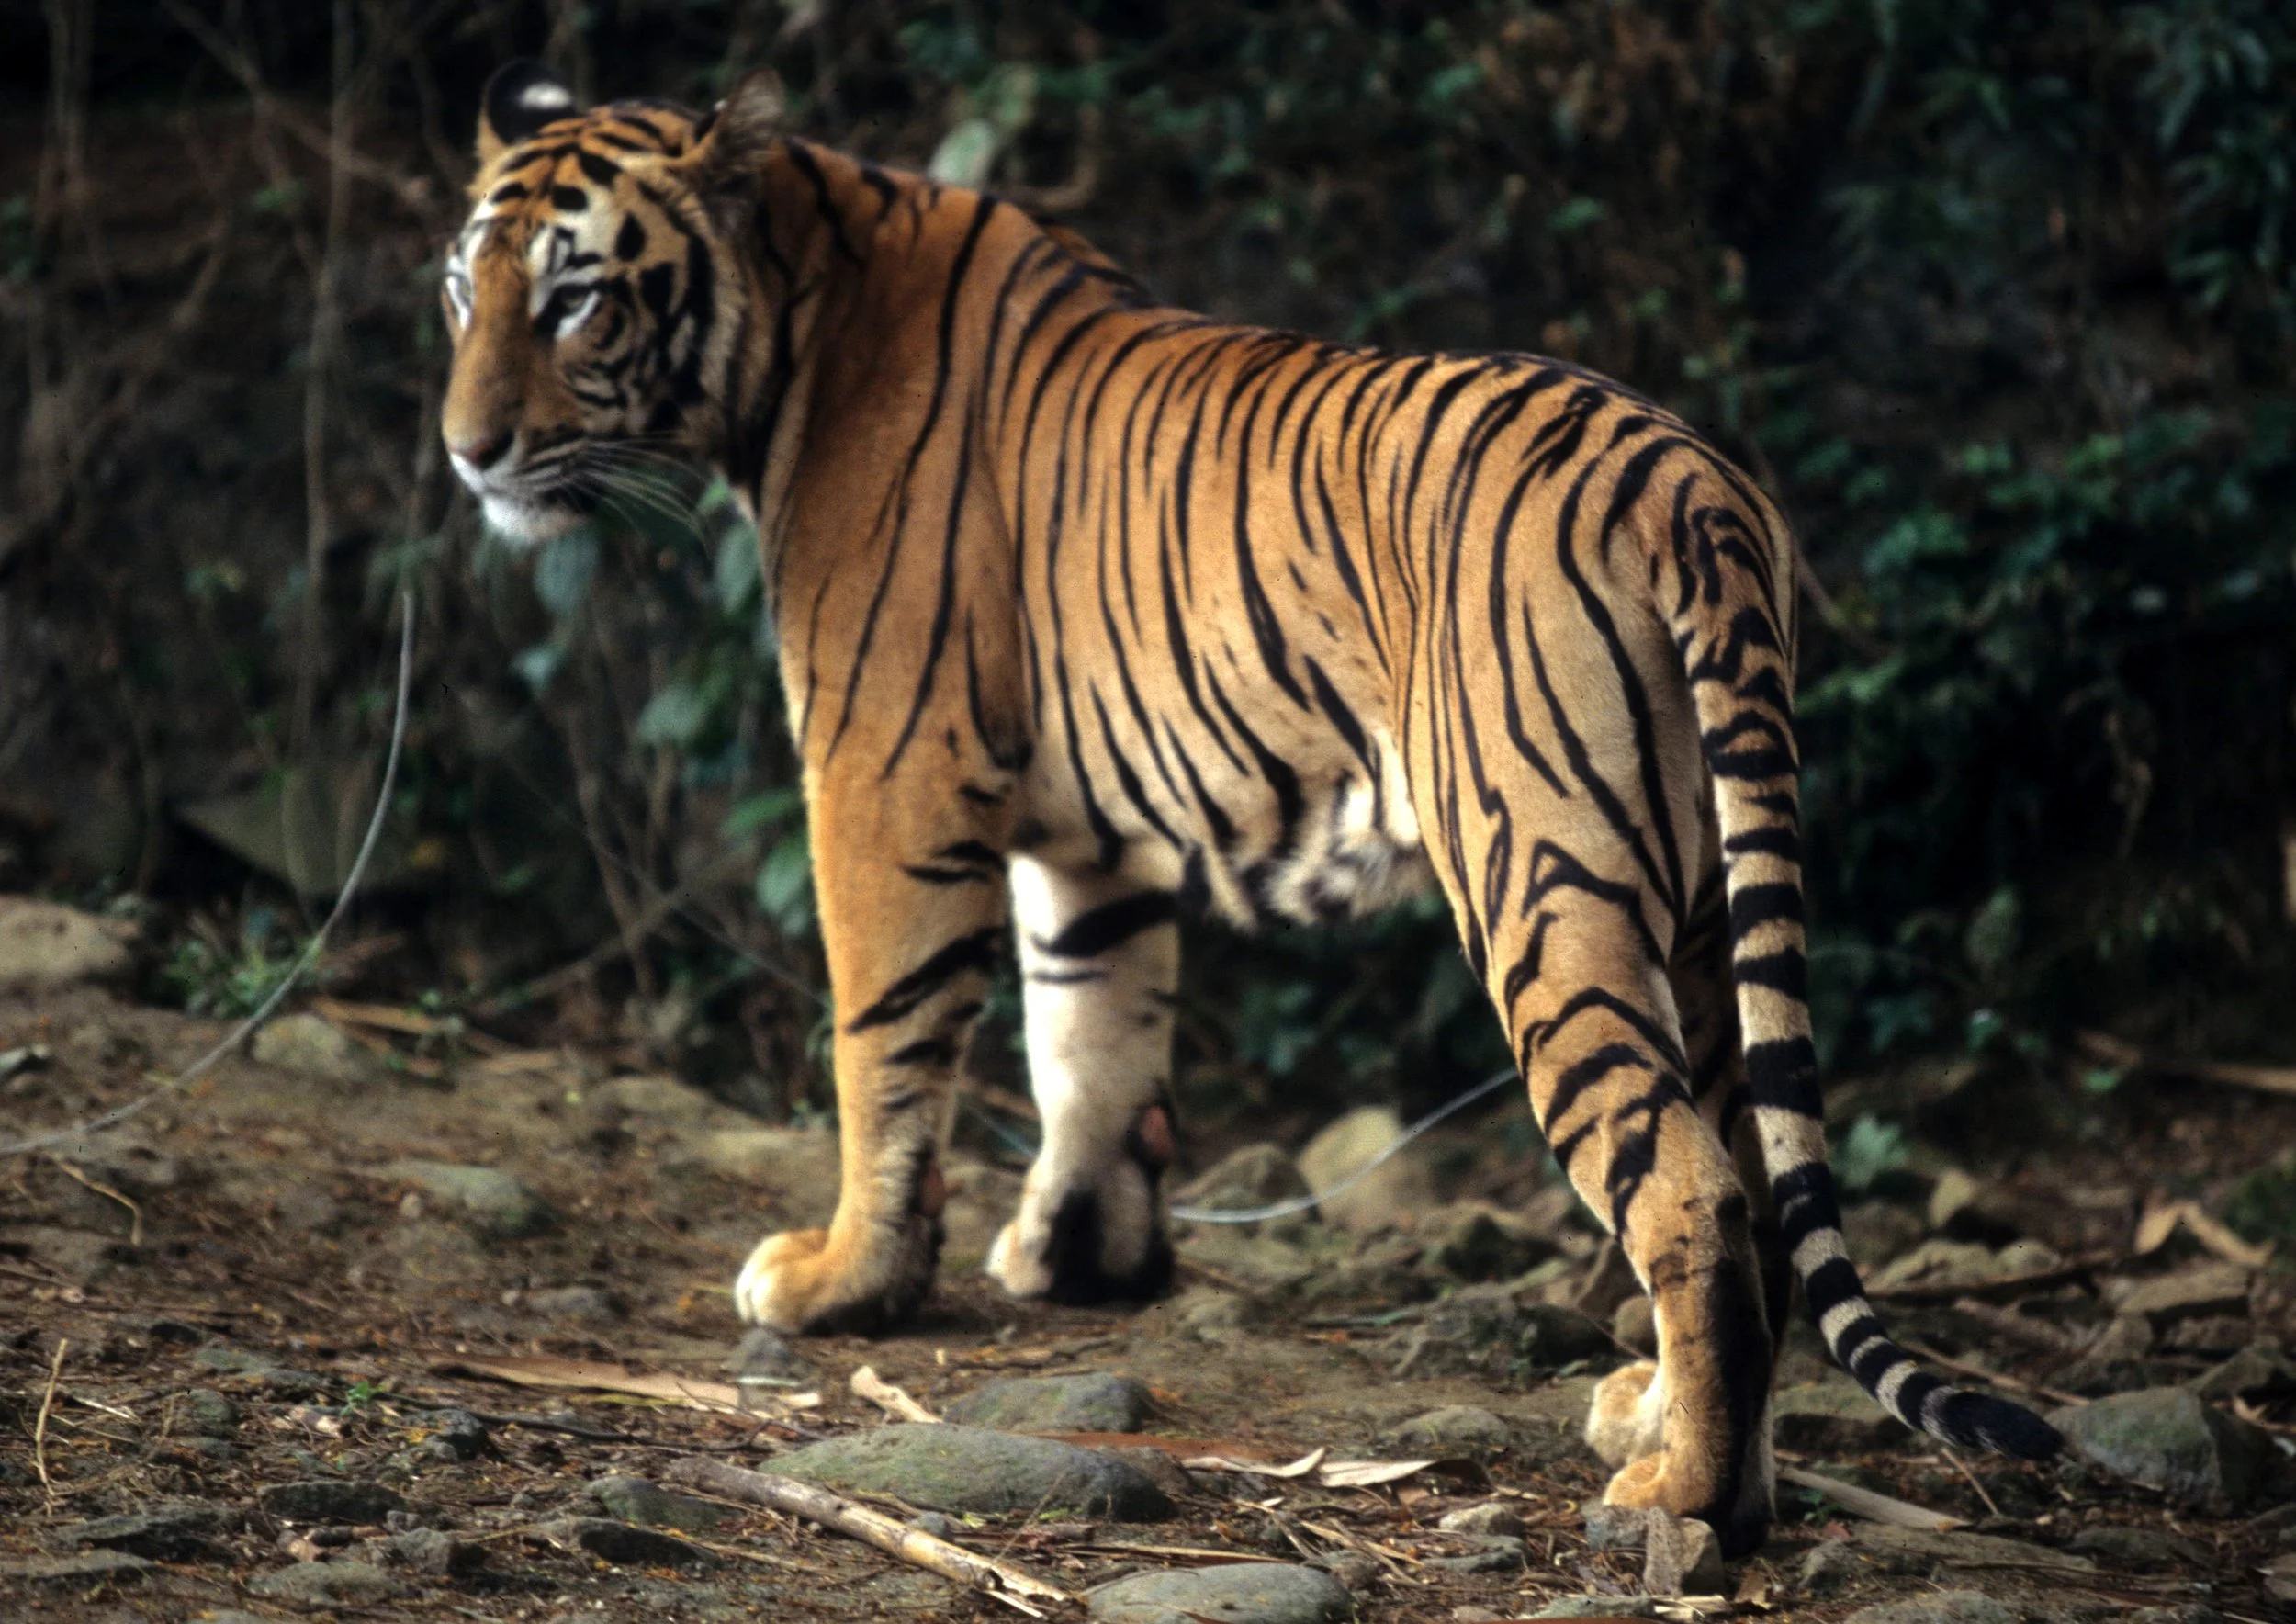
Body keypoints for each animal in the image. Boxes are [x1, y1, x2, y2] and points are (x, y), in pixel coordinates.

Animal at [439, 59, 2059, 1552]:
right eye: (466, 288)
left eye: (576, 300)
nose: (467, 450)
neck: (799, 319)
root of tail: (1689, 484)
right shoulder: (1091, 840)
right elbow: (1088, 1037)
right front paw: (1083, 1260)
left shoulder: (879, 769)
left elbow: (883, 1036)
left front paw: (845, 1281)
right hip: (1708, 902)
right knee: (1761, 1192)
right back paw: (1676, 1438)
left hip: (1543, 879)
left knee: (1691, 1190)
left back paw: (1681, 1500)